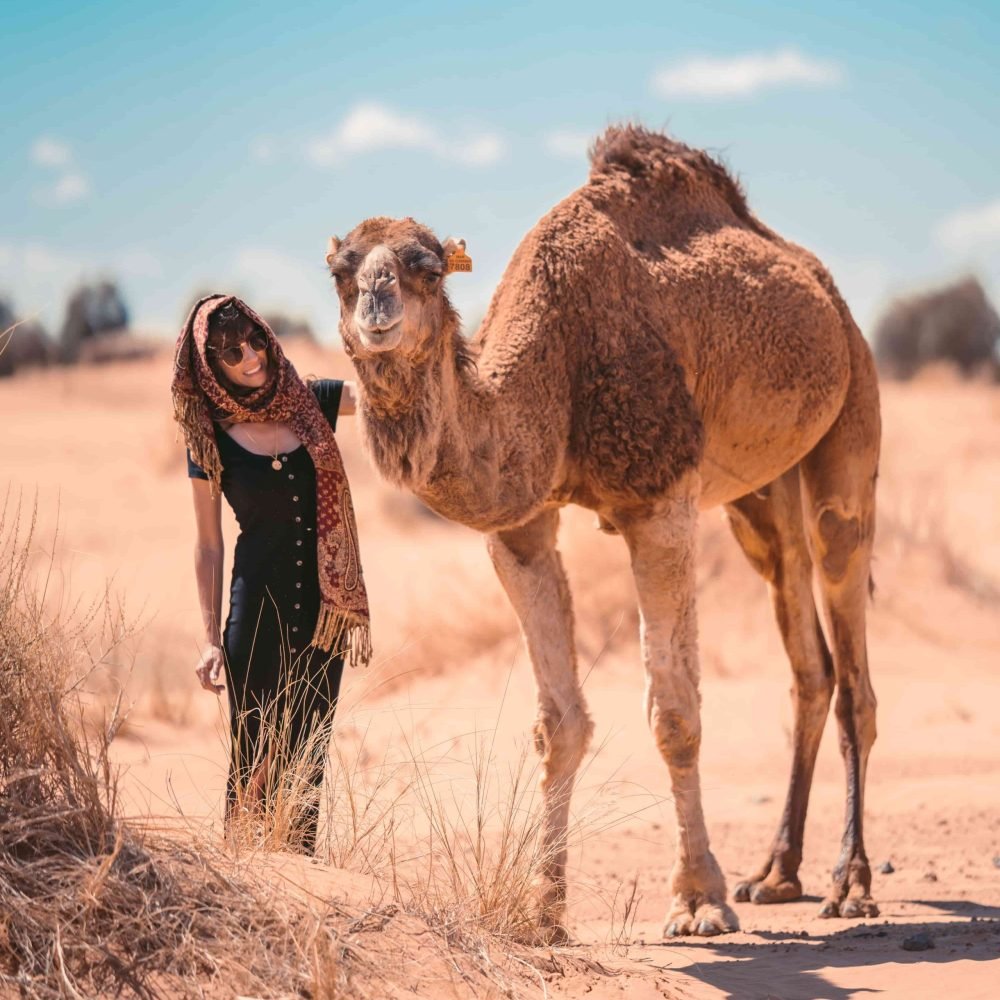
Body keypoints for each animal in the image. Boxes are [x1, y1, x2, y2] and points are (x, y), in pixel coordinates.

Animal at [324, 123, 880, 936]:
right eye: (341, 270)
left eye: (425, 268)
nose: (376, 306)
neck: (554, 365)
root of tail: (826, 291)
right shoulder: (521, 527)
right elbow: (559, 722)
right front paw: (543, 909)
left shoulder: (660, 501)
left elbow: (674, 711)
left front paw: (698, 899)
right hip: (760, 499)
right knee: (809, 661)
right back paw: (776, 873)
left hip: (852, 418)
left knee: (850, 651)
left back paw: (851, 882)